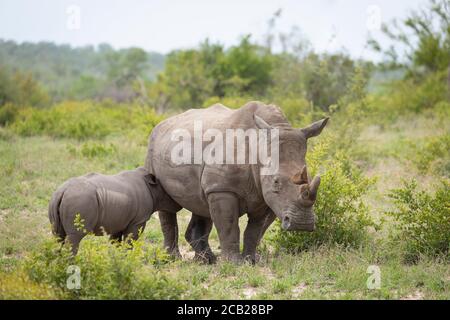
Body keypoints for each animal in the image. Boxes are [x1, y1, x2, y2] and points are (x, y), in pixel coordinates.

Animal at [49, 166, 181, 254]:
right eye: (169, 194)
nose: (179, 206)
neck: (152, 187)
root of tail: (62, 191)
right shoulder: (138, 221)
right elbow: (130, 241)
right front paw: (128, 259)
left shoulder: (119, 219)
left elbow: (116, 242)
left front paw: (117, 258)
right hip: (80, 199)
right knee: (75, 237)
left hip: (56, 200)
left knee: (58, 236)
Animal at [146, 102, 328, 262]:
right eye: (276, 181)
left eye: (311, 178)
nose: (302, 223)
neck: (259, 146)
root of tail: (162, 123)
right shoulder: (223, 189)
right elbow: (229, 226)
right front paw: (233, 263)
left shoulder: (266, 196)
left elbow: (255, 230)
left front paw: (250, 260)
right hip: (152, 147)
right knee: (167, 205)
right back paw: (172, 259)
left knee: (201, 205)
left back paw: (206, 260)